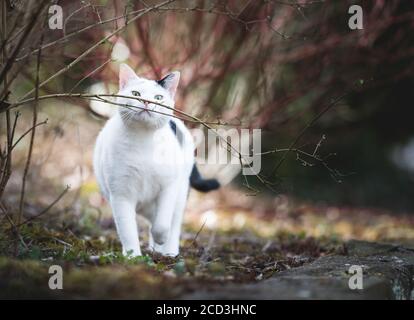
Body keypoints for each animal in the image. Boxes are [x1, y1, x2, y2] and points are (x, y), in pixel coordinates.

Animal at [93, 63, 220, 256]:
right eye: (136, 94)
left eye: (158, 98)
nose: (147, 102)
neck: (144, 141)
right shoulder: (121, 195)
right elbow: (127, 229)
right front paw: (133, 256)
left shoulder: (169, 187)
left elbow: (162, 223)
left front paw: (161, 238)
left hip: (180, 193)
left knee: (173, 223)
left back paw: (168, 251)